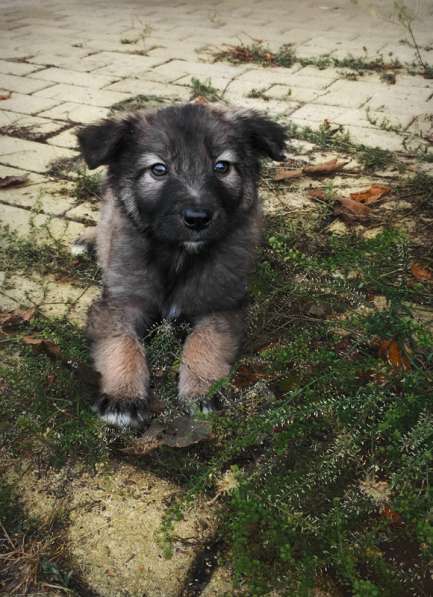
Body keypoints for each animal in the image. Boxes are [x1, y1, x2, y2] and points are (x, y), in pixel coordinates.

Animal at [77, 103, 286, 428]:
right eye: (158, 169)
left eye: (222, 166)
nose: (198, 218)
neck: (178, 255)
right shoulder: (118, 305)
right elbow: (122, 343)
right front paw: (124, 395)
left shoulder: (221, 306)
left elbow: (204, 340)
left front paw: (202, 388)